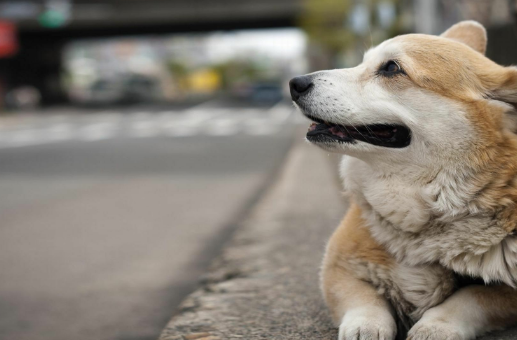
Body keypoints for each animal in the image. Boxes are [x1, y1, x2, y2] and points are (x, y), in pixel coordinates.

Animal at [290, 21, 517, 340]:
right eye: (363, 61)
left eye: (391, 68)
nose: (295, 83)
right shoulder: (337, 267)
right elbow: (365, 300)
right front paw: (366, 326)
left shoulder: (506, 292)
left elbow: (474, 296)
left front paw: (435, 325)